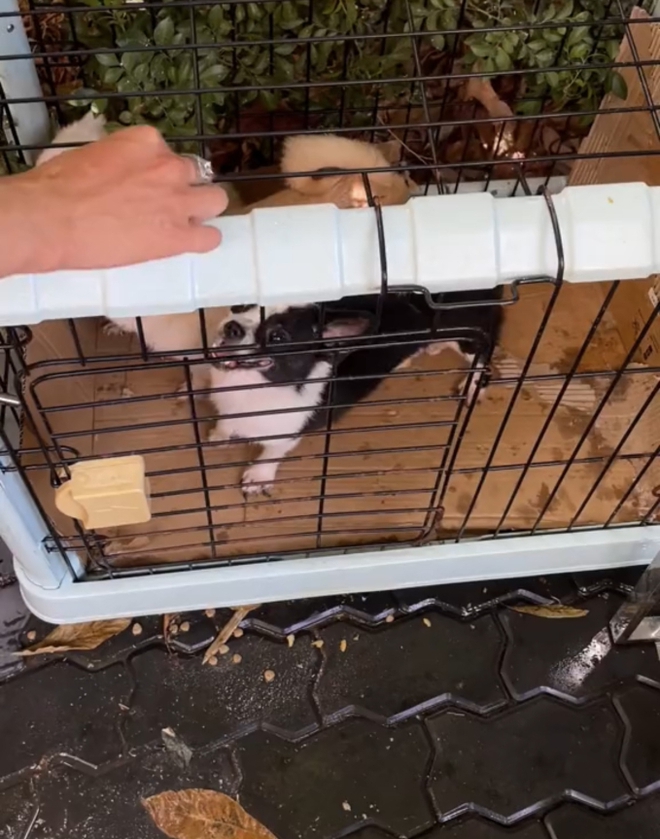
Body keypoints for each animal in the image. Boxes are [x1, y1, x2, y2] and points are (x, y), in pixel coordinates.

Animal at [207, 290, 503, 496]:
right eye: (240, 304)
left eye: (278, 337)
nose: (232, 327)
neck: (250, 385)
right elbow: (226, 423)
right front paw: (221, 435)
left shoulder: (292, 429)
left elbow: (272, 452)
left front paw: (259, 475)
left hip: (469, 334)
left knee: (483, 355)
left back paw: (473, 385)